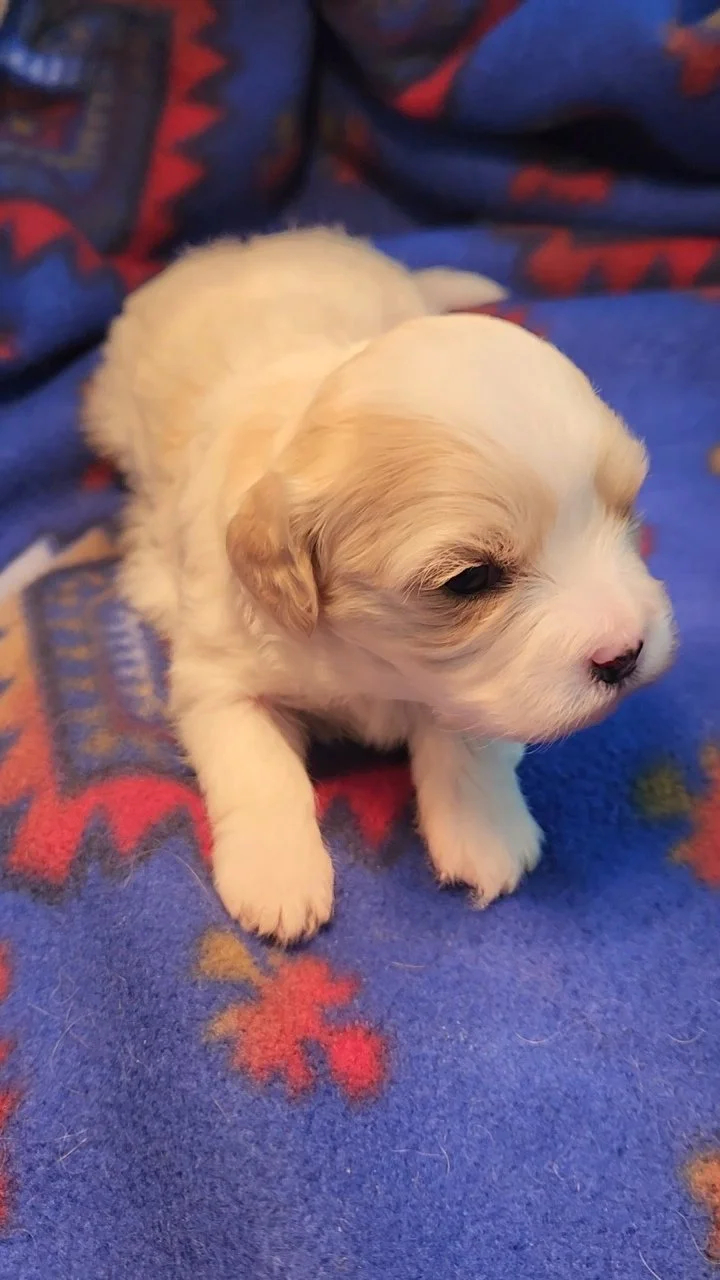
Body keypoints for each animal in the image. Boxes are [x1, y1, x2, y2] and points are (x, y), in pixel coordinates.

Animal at [83, 228, 675, 942]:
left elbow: (468, 737)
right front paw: (277, 879)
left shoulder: (467, 689)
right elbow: (258, 767)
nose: (627, 654)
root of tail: (249, 245)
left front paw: (485, 834)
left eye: (627, 509)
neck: (373, 664)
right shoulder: (218, 675)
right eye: (471, 578)